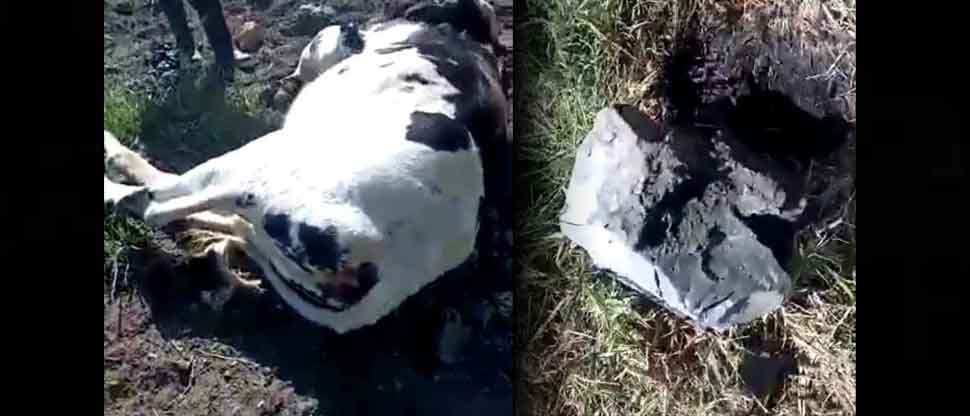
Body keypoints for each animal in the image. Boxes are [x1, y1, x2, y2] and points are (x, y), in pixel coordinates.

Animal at [103, 0, 509, 334]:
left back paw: (115, 165)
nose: (344, 27)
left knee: (155, 203)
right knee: (215, 220)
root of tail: (384, 275)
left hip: (260, 163)